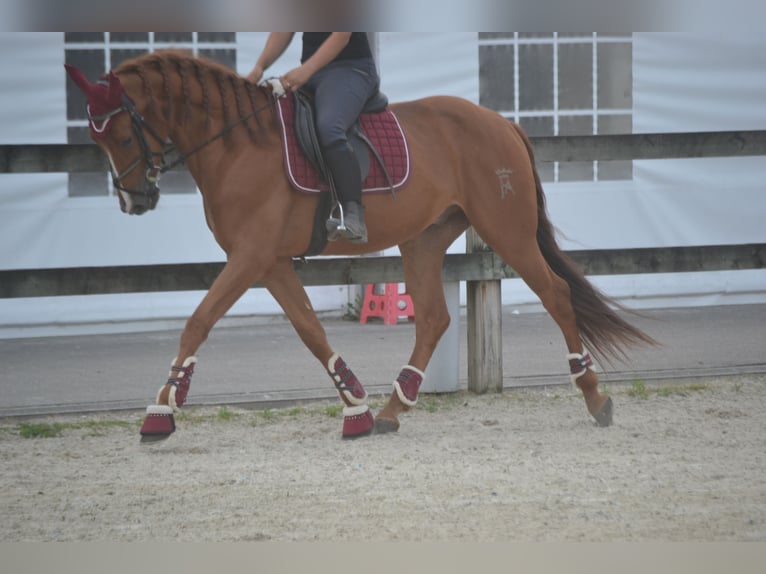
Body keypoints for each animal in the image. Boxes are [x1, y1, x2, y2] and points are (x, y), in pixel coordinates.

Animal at [64, 51, 656, 444]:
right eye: (95, 138)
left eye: (122, 135)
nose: (134, 201)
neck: (237, 144)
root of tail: (500, 121)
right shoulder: (269, 262)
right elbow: (310, 329)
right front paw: (355, 405)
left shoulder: (249, 258)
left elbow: (198, 321)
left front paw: (160, 412)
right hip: (425, 240)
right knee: (434, 318)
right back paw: (394, 407)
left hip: (505, 229)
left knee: (555, 294)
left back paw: (595, 398)